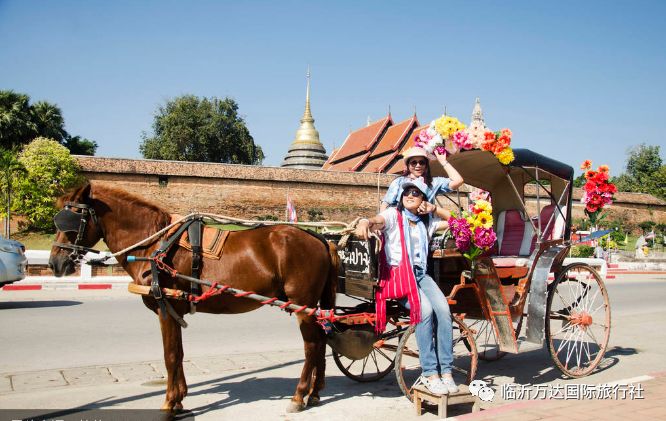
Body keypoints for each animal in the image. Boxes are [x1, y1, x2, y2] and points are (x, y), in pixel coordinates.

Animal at [49, 182, 338, 412]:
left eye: (72, 219)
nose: (55, 263)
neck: (154, 244)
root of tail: (321, 239)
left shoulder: (165, 306)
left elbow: (170, 355)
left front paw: (169, 401)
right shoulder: (173, 309)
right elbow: (178, 352)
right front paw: (179, 397)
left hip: (302, 304)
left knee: (312, 345)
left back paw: (299, 395)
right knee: (322, 339)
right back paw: (314, 393)